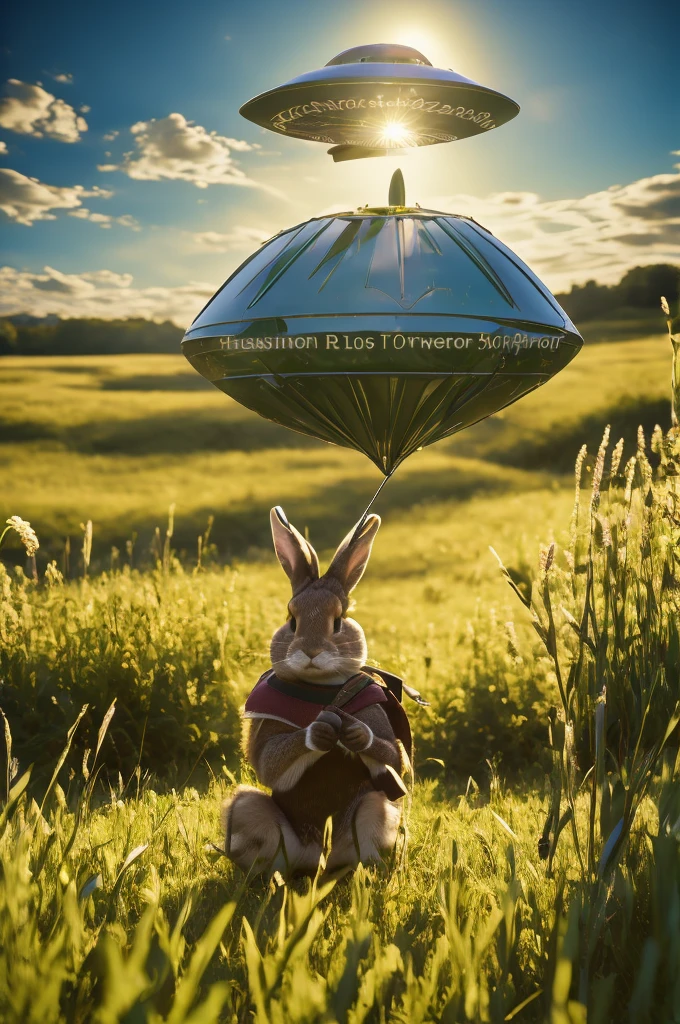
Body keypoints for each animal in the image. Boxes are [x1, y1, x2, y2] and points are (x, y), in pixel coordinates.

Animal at [224, 507, 413, 876]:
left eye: (338, 621)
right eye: (292, 620)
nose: (311, 651)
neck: (321, 690)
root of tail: (316, 853)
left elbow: (395, 757)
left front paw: (355, 734)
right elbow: (268, 762)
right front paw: (320, 731)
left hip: (372, 806)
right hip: (246, 809)